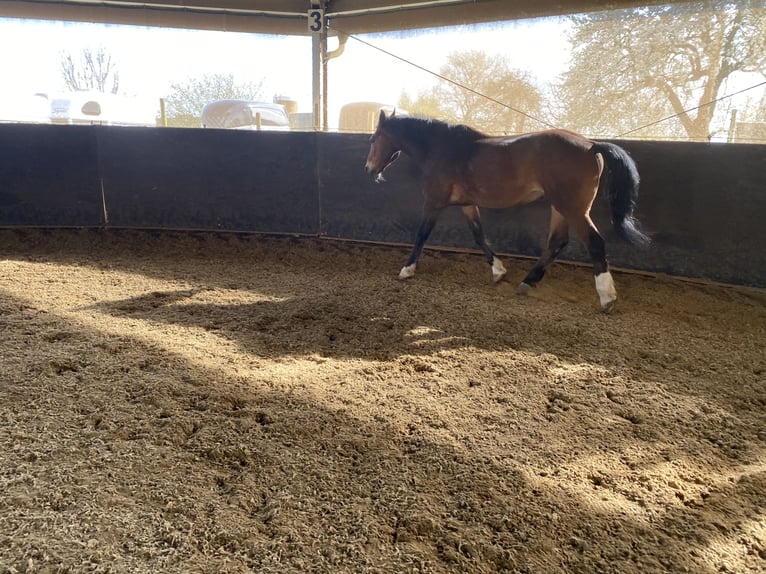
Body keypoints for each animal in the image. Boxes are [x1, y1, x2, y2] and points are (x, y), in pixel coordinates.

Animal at [364, 110, 649, 313]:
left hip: (573, 208)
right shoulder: (468, 204)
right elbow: (479, 236)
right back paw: (528, 281)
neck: (443, 148)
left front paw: (407, 269)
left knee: (595, 242)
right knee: (557, 242)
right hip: (560, 207)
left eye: (374, 138)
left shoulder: (434, 202)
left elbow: (422, 234)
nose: (369, 169)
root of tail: (591, 144)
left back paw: (607, 297)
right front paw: (498, 271)